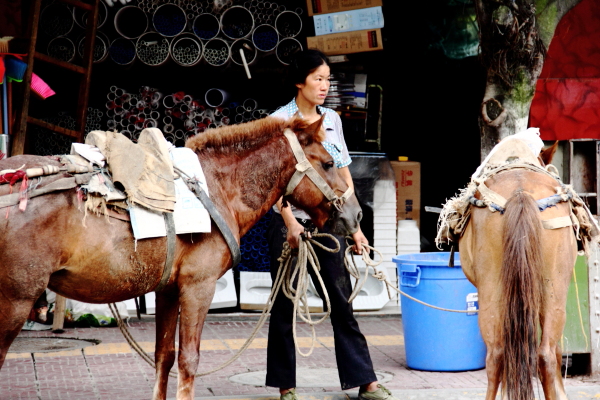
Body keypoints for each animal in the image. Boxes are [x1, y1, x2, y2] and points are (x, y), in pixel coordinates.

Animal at [0, 115, 364, 400]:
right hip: (16, 299)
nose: (357, 214)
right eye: (328, 164)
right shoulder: (197, 287)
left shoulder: (168, 289)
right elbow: (189, 359)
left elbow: (164, 356)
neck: (218, 187)